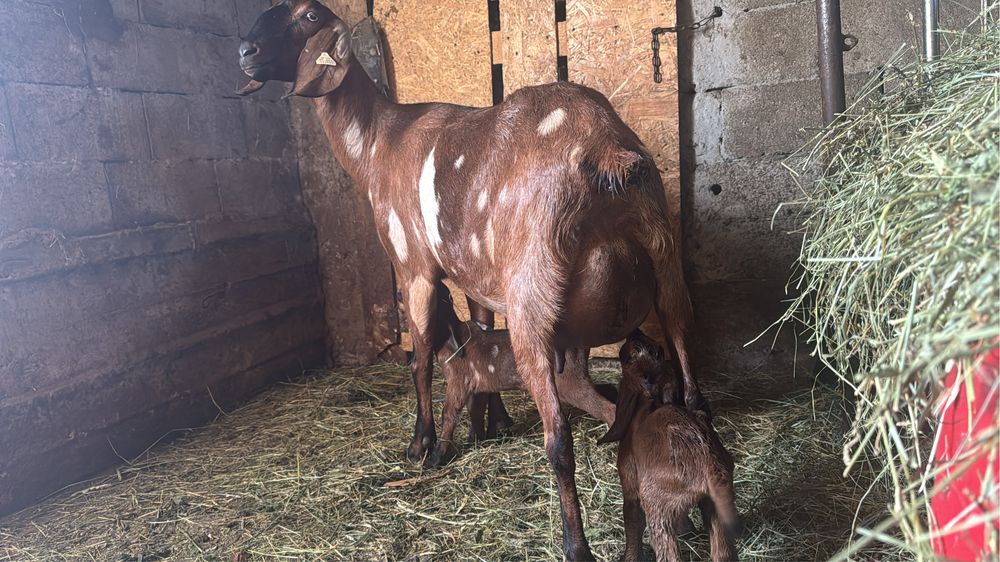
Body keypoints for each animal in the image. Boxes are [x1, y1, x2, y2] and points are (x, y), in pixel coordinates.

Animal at [427, 283, 615, 468]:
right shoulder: (476, 384)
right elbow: (475, 409)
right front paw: (473, 442)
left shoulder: (458, 382)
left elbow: (448, 415)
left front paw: (435, 459)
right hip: (576, 379)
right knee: (607, 390)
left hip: (570, 383)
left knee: (608, 409)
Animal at [599, 331, 739, 562]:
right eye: (657, 349)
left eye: (626, 357)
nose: (634, 331)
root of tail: (708, 465)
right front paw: (688, 531)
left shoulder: (630, 484)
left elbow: (632, 521)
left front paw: (629, 557)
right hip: (716, 504)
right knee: (722, 551)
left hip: (656, 505)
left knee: (669, 552)